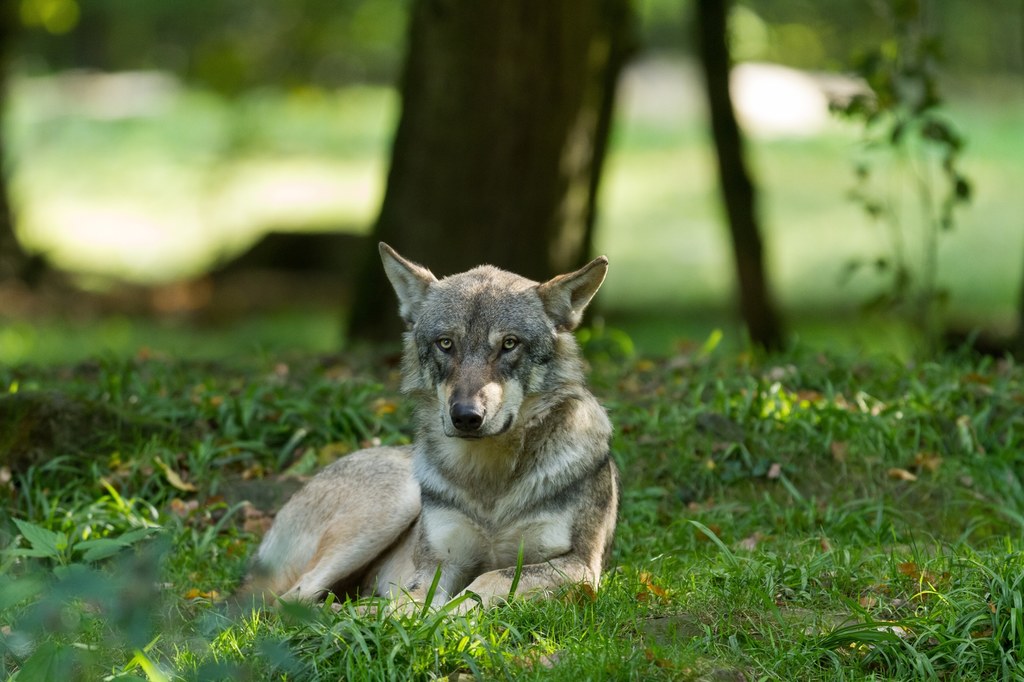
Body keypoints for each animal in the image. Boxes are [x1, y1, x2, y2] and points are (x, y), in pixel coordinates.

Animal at [243, 244, 618, 610]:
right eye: (445, 343)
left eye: (509, 343)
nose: (466, 416)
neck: (489, 482)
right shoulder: (437, 564)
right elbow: (420, 605)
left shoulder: (580, 567)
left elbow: (487, 581)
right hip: (396, 502)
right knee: (290, 601)